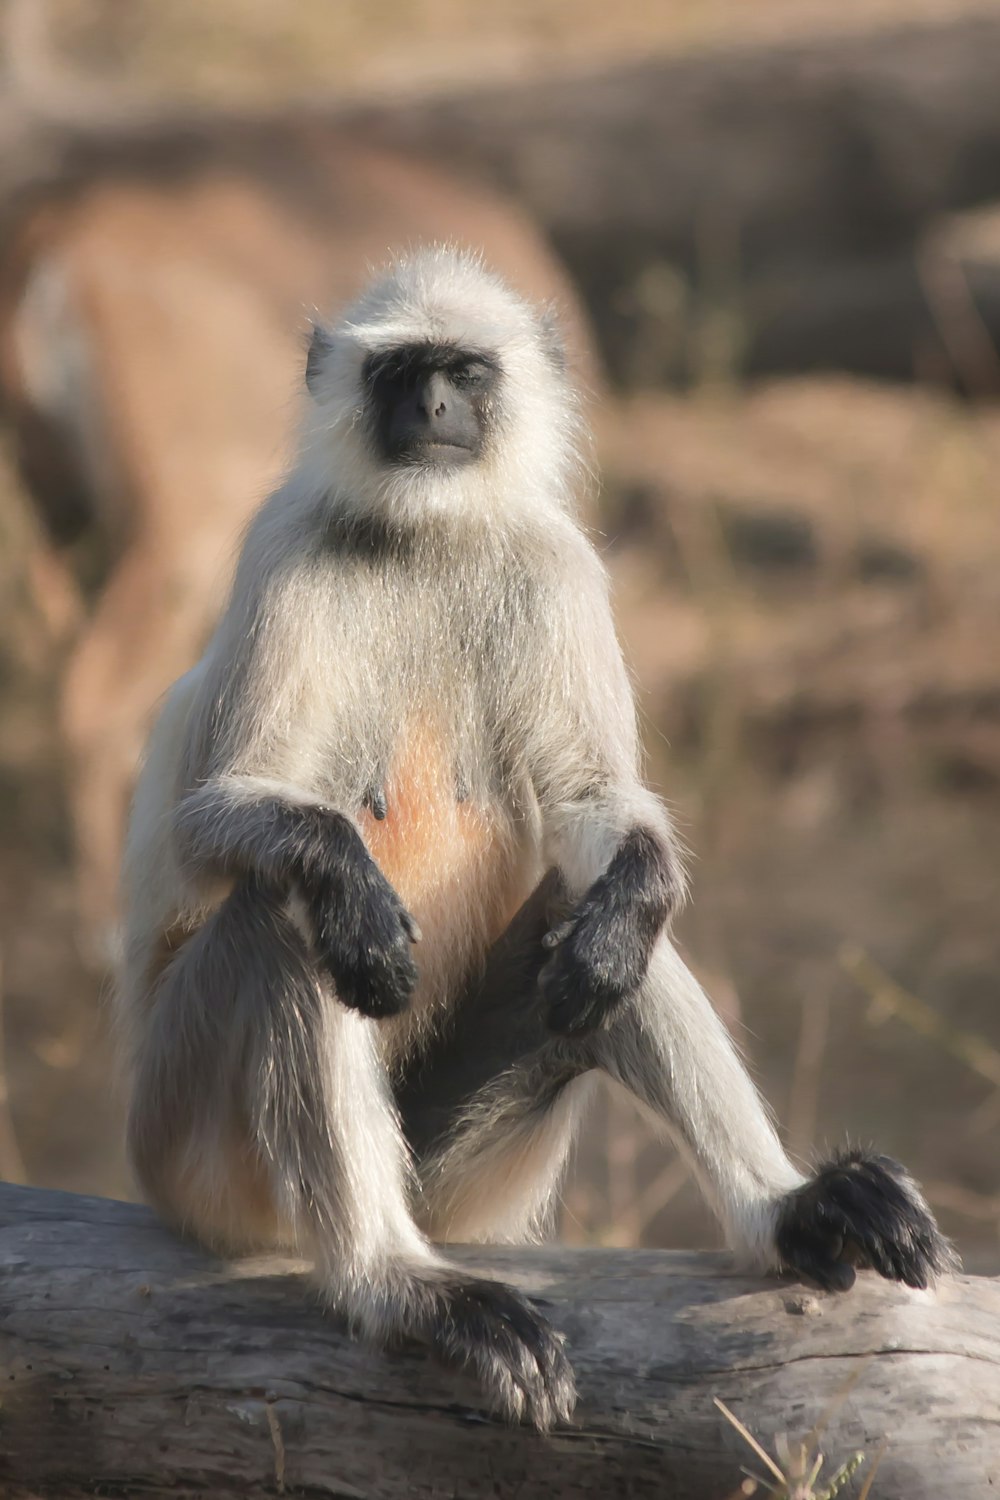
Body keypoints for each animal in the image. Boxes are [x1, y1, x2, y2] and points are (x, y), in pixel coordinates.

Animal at [121, 246, 959, 1428]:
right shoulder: (279, 550)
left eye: (465, 373)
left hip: (462, 1175)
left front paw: (617, 924)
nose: (430, 408)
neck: (428, 537)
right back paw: (398, 1284)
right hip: (188, 1147)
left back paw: (786, 1209)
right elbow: (215, 829)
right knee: (284, 917)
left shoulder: (558, 562)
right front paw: (350, 890)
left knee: (594, 924)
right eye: (399, 373)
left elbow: (594, 815)